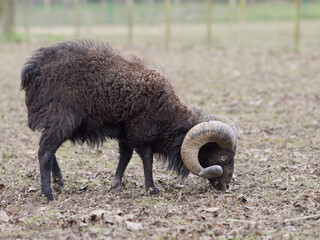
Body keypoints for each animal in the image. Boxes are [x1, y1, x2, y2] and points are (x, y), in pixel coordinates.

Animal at [20, 41, 238, 201]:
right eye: (223, 158)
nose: (226, 186)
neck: (167, 113)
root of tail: (32, 71)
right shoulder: (141, 134)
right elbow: (147, 159)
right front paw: (152, 189)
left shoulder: (125, 133)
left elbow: (125, 157)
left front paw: (115, 186)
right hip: (62, 119)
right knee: (45, 152)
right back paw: (48, 194)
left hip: (56, 122)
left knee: (48, 149)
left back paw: (58, 182)